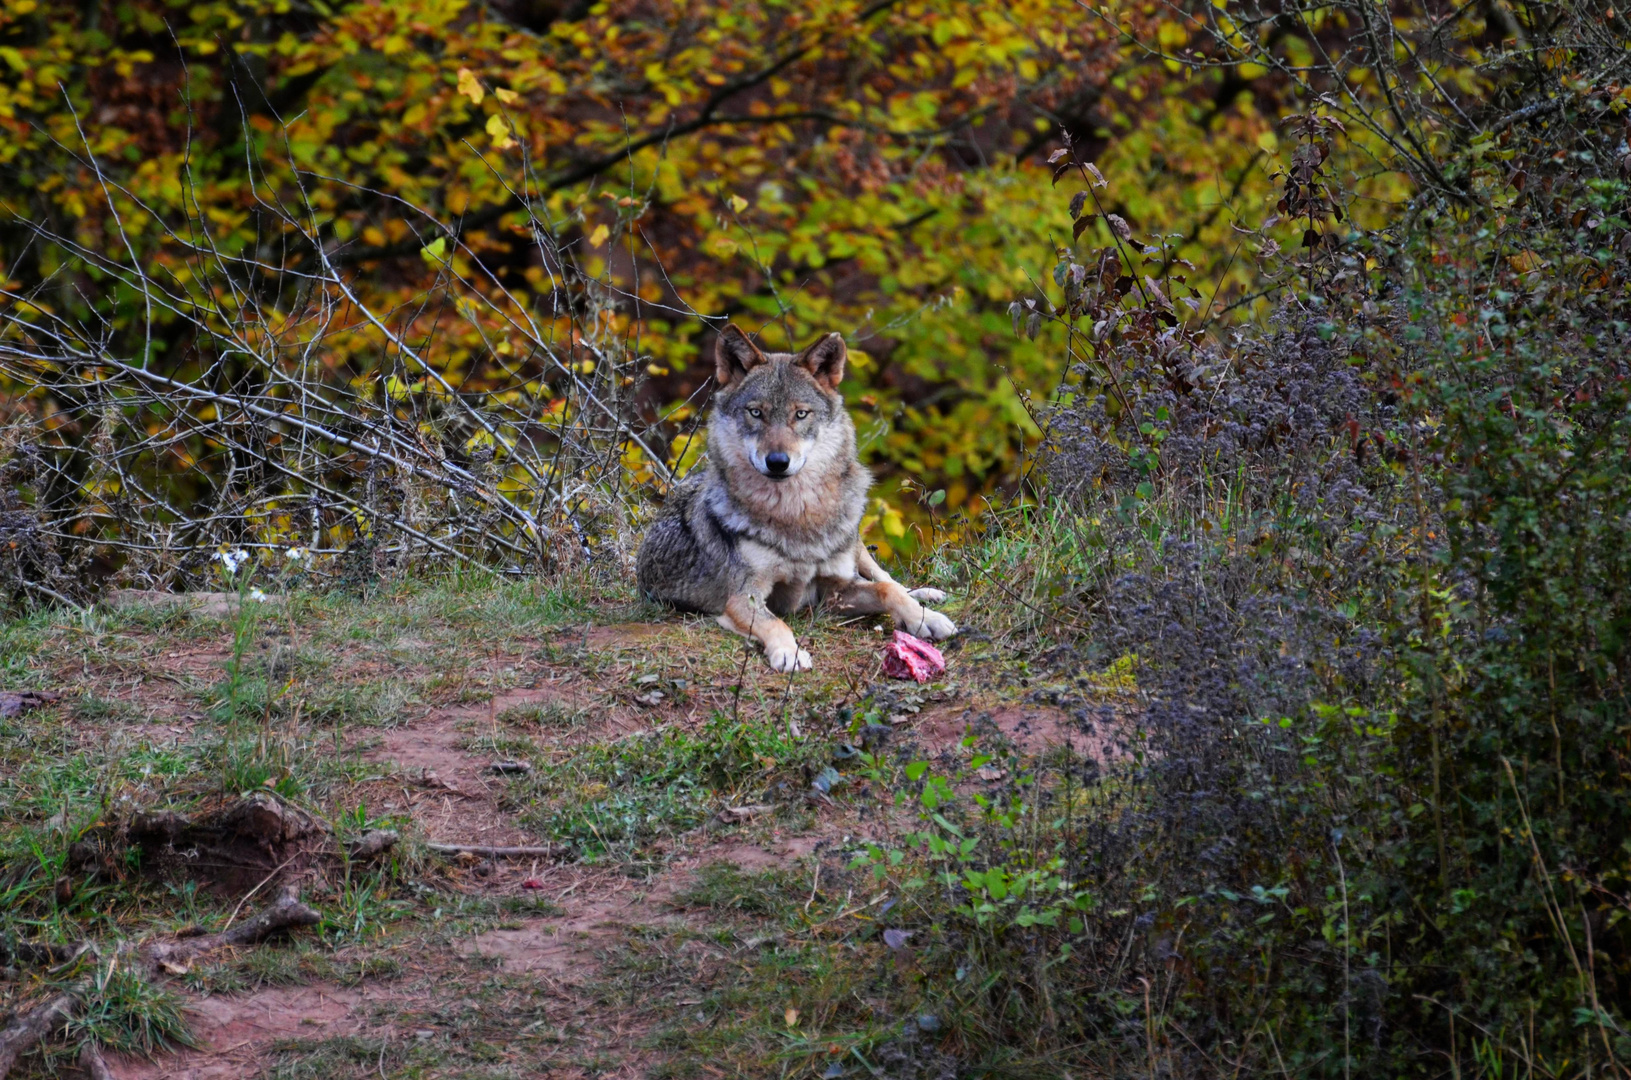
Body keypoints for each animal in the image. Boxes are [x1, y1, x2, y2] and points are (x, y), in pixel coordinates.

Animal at [636, 326, 959, 672]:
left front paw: (926, 619)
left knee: (888, 578)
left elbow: (888, 590)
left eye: (801, 414)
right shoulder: (744, 597)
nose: (778, 462)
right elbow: (776, 623)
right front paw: (789, 653)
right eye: (756, 413)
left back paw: (926, 595)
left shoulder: (833, 589)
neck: (795, 513)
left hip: (854, 545)